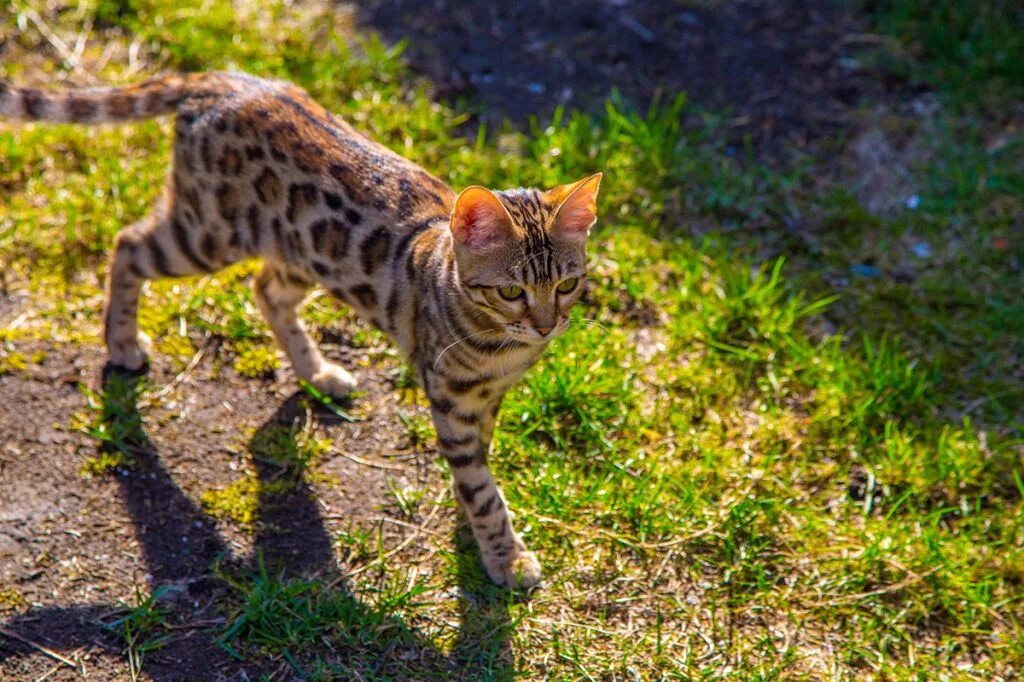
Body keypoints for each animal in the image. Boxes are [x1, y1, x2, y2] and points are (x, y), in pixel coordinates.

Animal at [2, 71, 598, 585]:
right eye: (511, 292)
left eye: (568, 284)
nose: (547, 327)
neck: (502, 347)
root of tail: (226, 80)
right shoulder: (451, 396)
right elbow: (481, 487)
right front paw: (505, 554)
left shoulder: (488, 395)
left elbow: (479, 462)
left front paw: (469, 521)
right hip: (208, 232)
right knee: (127, 244)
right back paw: (123, 342)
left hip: (302, 251)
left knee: (265, 290)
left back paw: (317, 373)